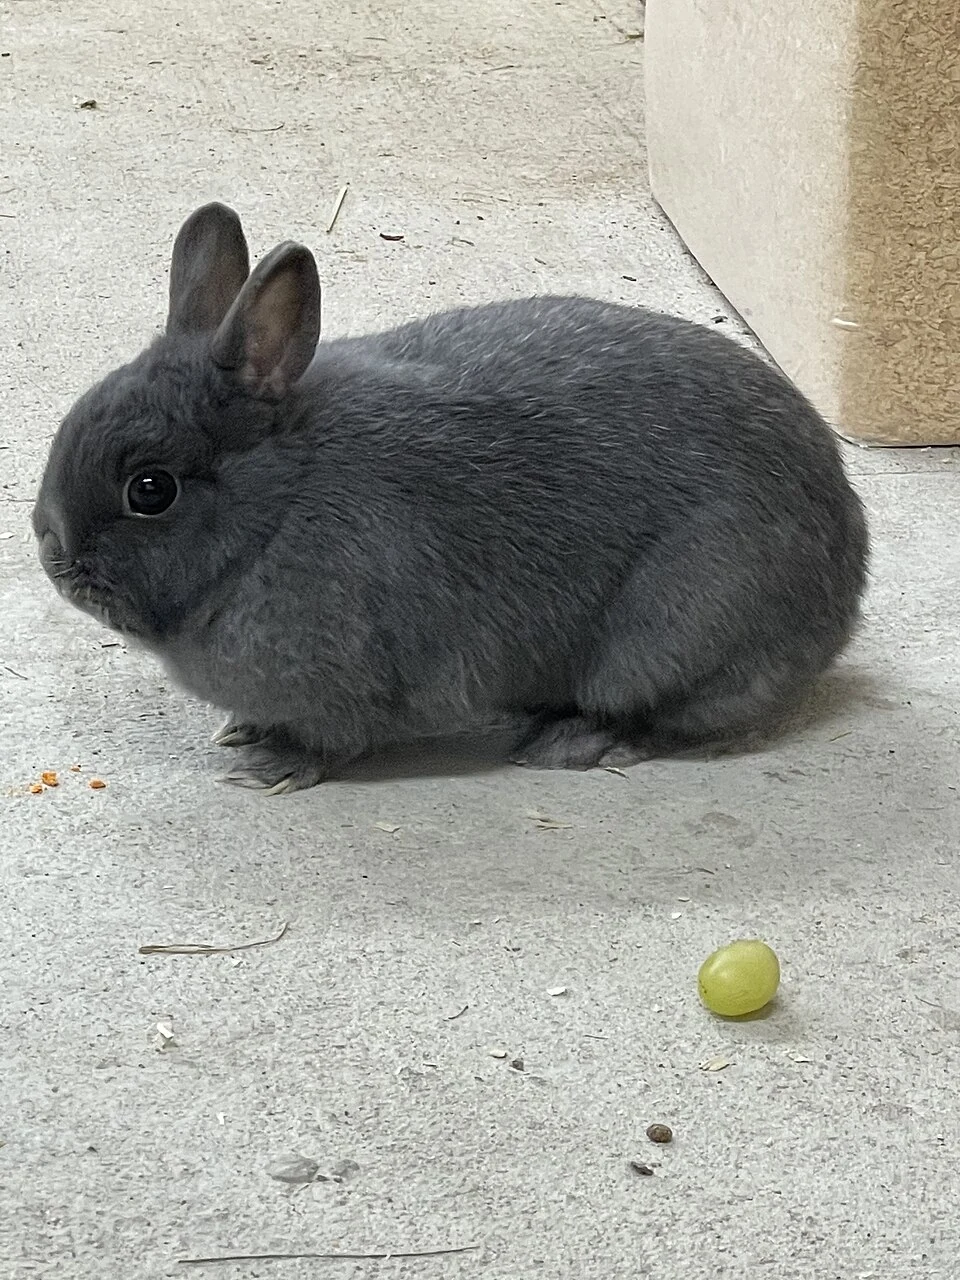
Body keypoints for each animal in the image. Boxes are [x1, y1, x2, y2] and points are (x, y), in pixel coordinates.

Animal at [33, 202, 868, 794]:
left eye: (151, 490)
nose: (52, 551)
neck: (274, 511)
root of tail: (843, 585)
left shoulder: (348, 679)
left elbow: (334, 741)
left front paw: (266, 765)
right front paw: (241, 733)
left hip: (678, 631)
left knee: (682, 719)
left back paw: (575, 742)